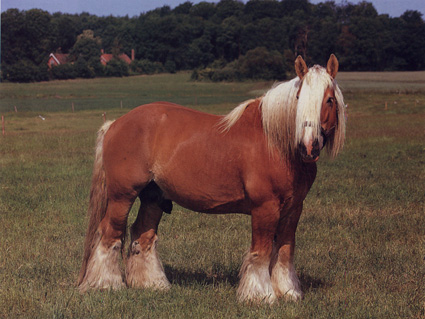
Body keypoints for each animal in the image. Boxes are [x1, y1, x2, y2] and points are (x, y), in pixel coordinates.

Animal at [78, 53, 346, 304]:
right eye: (299, 98)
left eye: (329, 100)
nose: (309, 146)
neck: (276, 143)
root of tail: (115, 124)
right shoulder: (265, 208)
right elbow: (261, 252)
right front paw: (259, 296)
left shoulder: (293, 209)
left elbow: (284, 251)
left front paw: (288, 292)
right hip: (122, 197)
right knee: (109, 234)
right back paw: (105, 284)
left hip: (153, 197)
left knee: (142, 235)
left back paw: (152, 284)